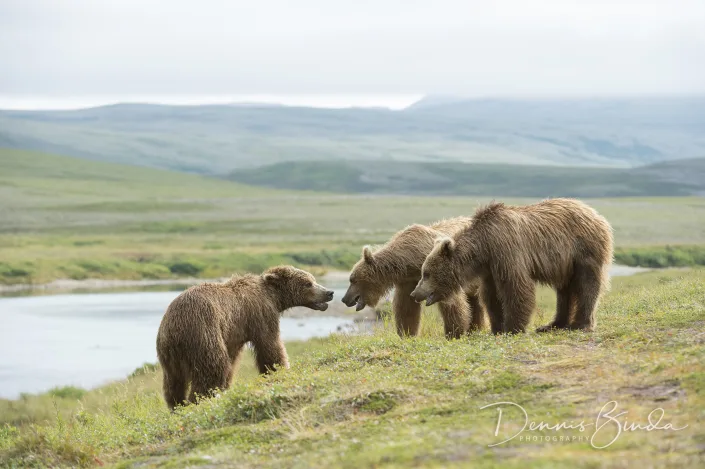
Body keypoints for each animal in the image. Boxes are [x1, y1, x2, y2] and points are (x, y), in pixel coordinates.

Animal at [156, 265, 334, 409]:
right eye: (308, 283)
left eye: (313, 279)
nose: (329, 293)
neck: (274, 297)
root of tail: (174, 328)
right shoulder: (260, 314)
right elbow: (269, 345)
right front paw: (280, 369)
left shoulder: (233, 334)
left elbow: (232, 360)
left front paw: (226, 387)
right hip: (203, 332)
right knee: (213, 367)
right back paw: (199, 400)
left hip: (168, 354)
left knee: (173, 382)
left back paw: (177, 405)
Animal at [341, 217, 487, 339]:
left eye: (352, 280)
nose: (344, 299)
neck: (411, 260)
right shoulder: (408, 281)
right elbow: (406, 308)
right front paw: (407, 334)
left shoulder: (438, 272)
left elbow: (451, 304)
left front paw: (453, 333)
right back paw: (475, 328)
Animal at [411, 198, 613, 334]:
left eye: (426, 273)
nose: (414, 293)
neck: (484, 246)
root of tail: (596, 214)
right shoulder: (490, 268)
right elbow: (491, 295)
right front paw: (497, 327)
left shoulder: (507, 251)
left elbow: (515, 288)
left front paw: (513, 327)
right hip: (565, 265)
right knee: (564, 291)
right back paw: (552, 324)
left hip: (583, 250)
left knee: (587, 285)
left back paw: (580, 324)